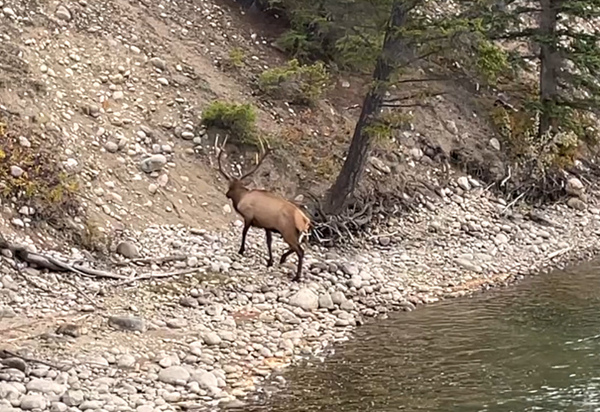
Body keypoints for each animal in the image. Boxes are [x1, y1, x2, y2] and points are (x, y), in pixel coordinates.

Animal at [216, 141, 310, 280]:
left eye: (230, 186)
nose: (227, 194)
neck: (241, 198)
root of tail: (305, 220)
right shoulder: (267, 226)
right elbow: (269, 242)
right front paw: (270, 261)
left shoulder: (248, 216)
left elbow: (244, 232)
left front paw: (241, 250)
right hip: (296, 233)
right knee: (298, 247)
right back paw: (282, 259)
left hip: (288, 231)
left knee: (300, 251)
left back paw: (297, 277)